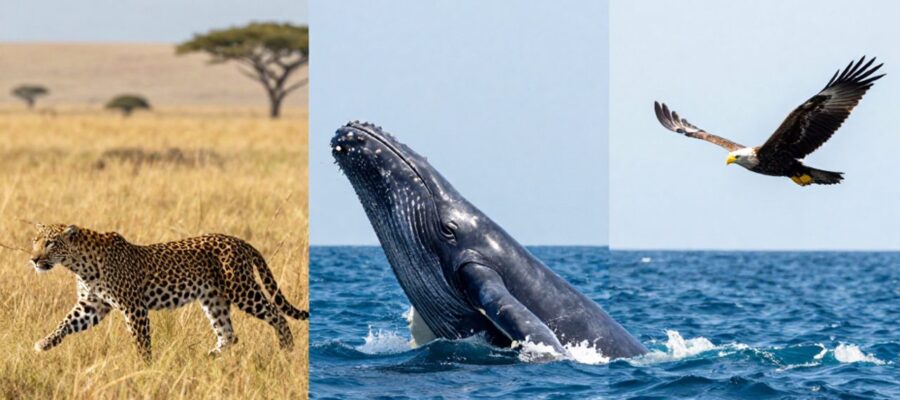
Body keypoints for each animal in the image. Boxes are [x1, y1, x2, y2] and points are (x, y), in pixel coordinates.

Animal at [29, 223, 308, 362]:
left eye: (50, 243)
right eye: (35, 241)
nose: (33, 259)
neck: (80, 264)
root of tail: (240, 241)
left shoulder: (134, 307)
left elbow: (141, 342)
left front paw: (144, 367)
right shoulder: (92, 305)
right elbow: (66, 322)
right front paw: (44, 343)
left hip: (242, 289)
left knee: (276, 315)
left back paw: (287, 351)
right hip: (213, 299)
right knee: (228, 334)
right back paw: (208, 357)